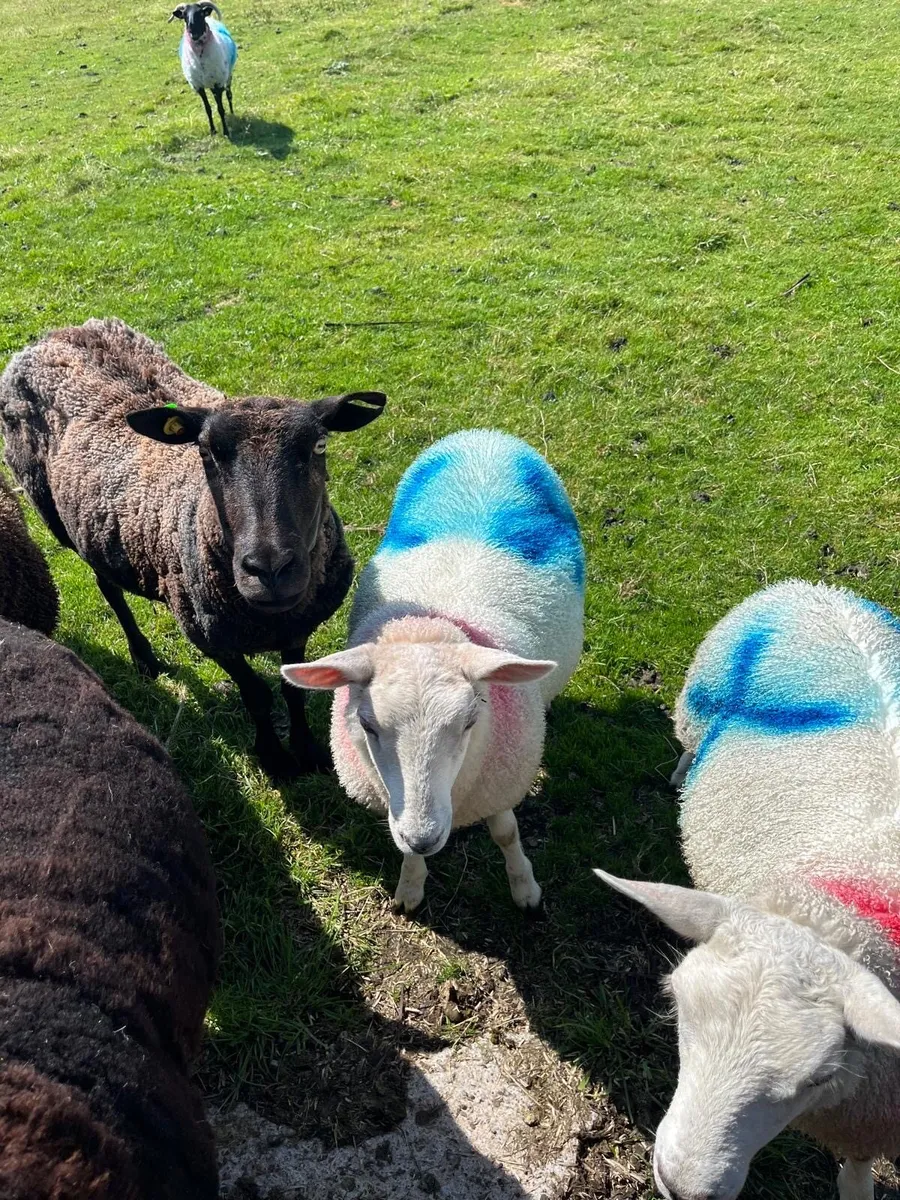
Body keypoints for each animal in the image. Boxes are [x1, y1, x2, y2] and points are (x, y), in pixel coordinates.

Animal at [169, 3, 237, 137]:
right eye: (184, 15)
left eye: (201, 13)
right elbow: (208, 109)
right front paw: (213, 130)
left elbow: (220, 109)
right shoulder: (198, 86)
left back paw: (232, 112)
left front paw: (226, 131)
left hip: (227, 76)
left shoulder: (218, 83)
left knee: (229, 95)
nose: (192, 29)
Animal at [282, 428, 585, 911]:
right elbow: (405, 850)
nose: (423, 837)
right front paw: (410, 885)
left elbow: (506, 832)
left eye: (470, 723)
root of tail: (483, 435)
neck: (429, 625)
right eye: (367, 726)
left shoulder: (499, 781)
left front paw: (524, 887)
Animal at [597, 579, 900, 1200]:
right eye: (675, 1002)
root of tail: (806, 587)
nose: (682, 1187)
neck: (834, 908)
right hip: (697, 706)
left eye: (821, 1077)